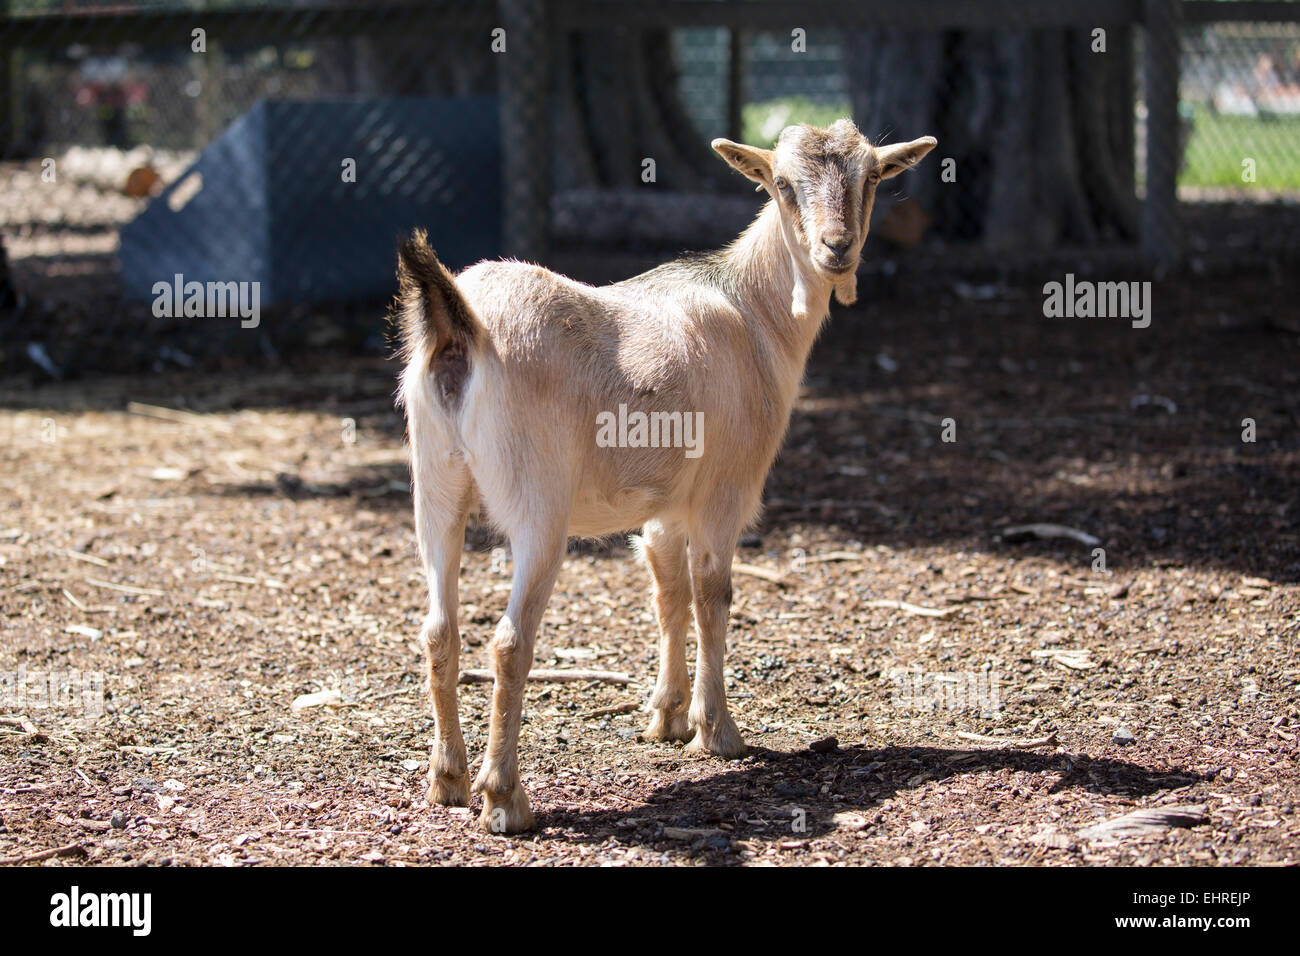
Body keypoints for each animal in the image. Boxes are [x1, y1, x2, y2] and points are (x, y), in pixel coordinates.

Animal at [396, 119, 936, 833]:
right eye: (783, 184)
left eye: (871, 176)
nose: (837, 249)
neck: (754, 312)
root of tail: (461, 327)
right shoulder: (723, 492)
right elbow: (712, 596)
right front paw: (718, 731)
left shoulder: (663, 507)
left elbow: (668, 593)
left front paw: (667, 717)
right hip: (538, 506)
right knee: (510, 642)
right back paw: (505, 798)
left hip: (434, 487)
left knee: (438, 628)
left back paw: (449, 780)